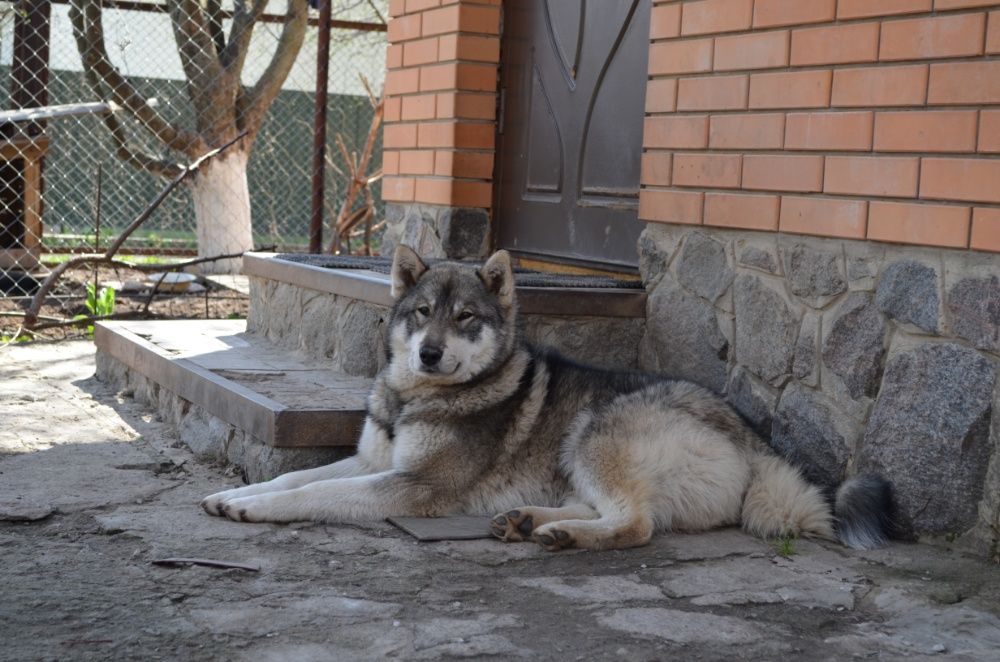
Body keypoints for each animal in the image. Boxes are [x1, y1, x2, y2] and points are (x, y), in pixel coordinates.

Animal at [201, 246, 892, 552]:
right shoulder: (375, 462)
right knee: (608, 509)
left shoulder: (413, 487)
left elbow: (314, 493)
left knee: (636, 524)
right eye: (422, 313)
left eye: (466, 317)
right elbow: (295, 478)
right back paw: (532, 521)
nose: (429, 353)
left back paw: (561, 535)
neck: (415, 399)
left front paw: (253, 509)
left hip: (595, 430)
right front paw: (235, 496)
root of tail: (757, 444)